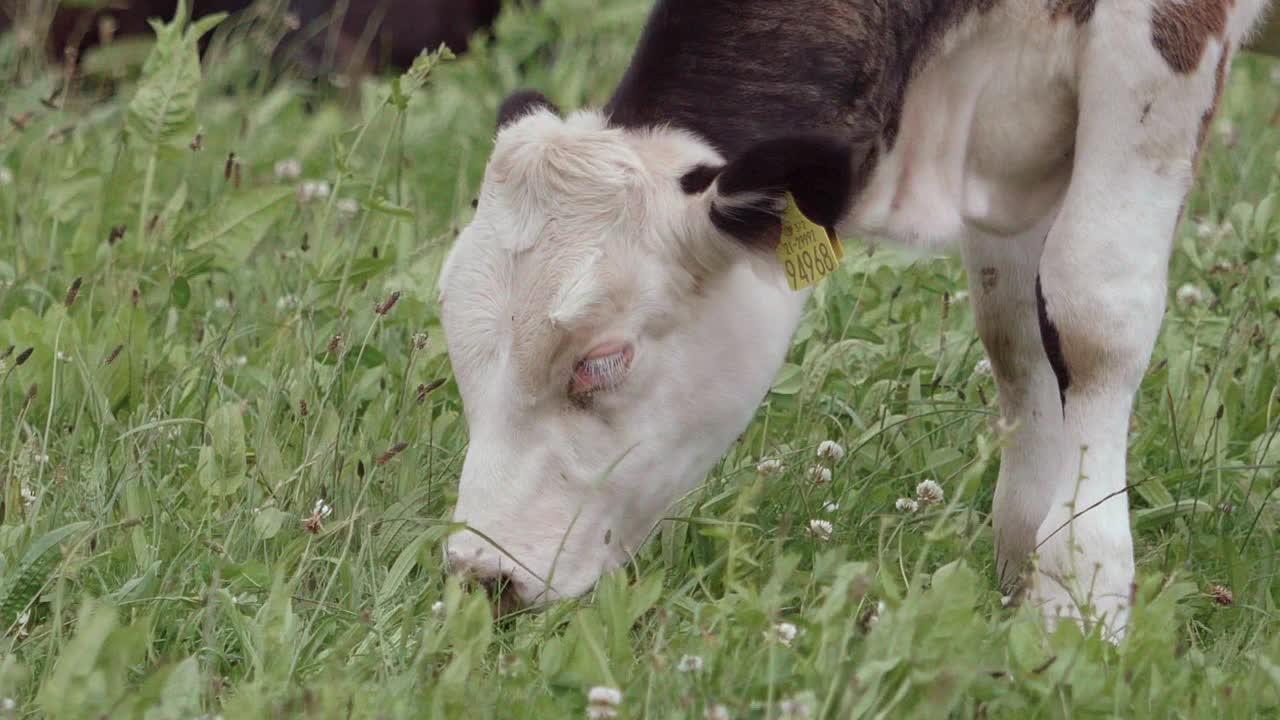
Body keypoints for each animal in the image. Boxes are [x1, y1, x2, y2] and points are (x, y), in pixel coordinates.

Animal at [437, 0, 1269, 632]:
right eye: (461, 357)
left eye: (601, 361)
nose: (482, 574)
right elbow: (1015, 328)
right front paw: (1025, 562)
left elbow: (1094, 314)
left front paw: (1080, 594)